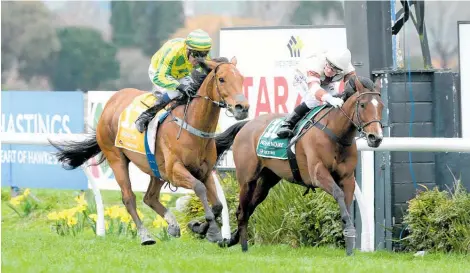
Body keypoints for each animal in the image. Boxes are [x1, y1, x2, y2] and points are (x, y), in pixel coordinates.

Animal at [50, 56, 252, 243]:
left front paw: (199, 227)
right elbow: (199, 188)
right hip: (116, 157)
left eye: (241, 78)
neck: (192, 126)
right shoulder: (175, 170)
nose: (242, 108)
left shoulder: (205, 171)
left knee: (150, 197)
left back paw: (172, 225)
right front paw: (212, 231)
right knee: (129, 197)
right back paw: (145, 235)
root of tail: (111, 101)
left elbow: (218, 204)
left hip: (156, 168)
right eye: (222, 79)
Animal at [215, 75, 384, 254]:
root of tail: (247, 124)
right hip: (247, 180)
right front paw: (349, 231)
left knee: (248, 208)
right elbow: (338, 194)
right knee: (242, 211)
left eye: (381, 105)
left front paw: (349, 241)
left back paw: (231, 240)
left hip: (267, 180)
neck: (335, 133)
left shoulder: (347, 178)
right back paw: (244, 246)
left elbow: (346, 201)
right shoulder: (318, 173)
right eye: (363, 104)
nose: (376, 138)